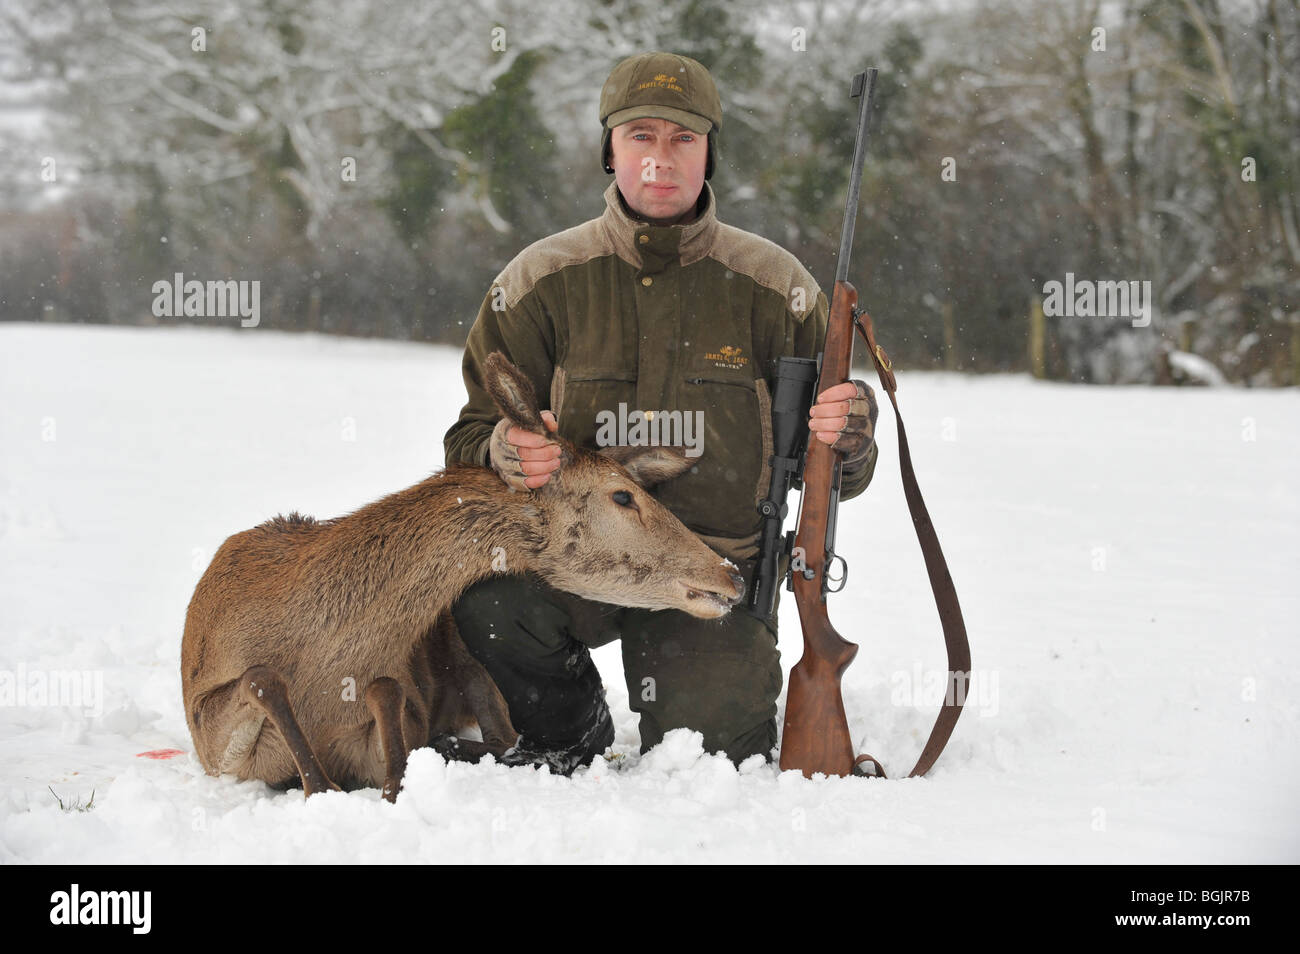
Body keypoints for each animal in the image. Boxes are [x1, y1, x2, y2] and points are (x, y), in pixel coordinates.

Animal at [185, 350, 754, 800]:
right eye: (623, 496)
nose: (732, 577)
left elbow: (387, 693)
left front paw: (390, 782)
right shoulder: (207, 733)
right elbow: (260, 677)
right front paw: (321, 784)